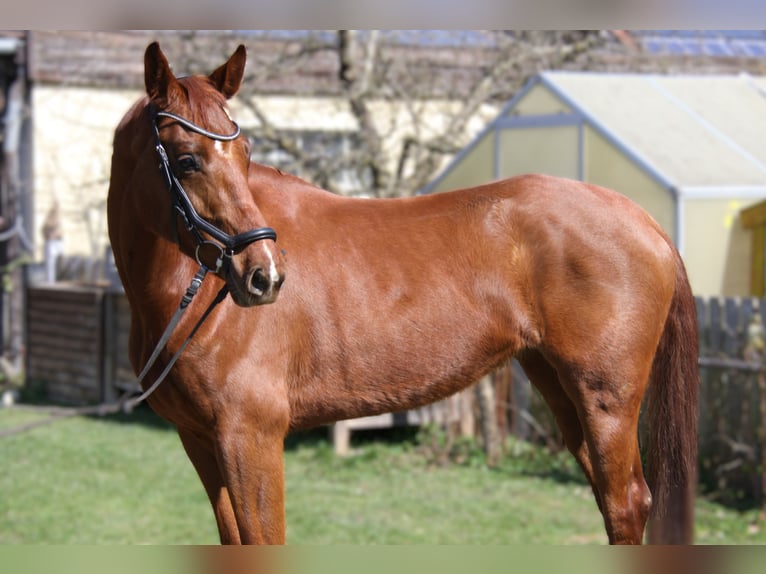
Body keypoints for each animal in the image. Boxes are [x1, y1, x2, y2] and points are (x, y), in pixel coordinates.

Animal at [107, 42, 699, 545]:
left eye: (246, 154)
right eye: (187, 159)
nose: (264, 275)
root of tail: (645, 221)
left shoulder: (250, 436)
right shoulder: (201, 440)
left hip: (607, 401)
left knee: (625, 504)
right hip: (559, 386)